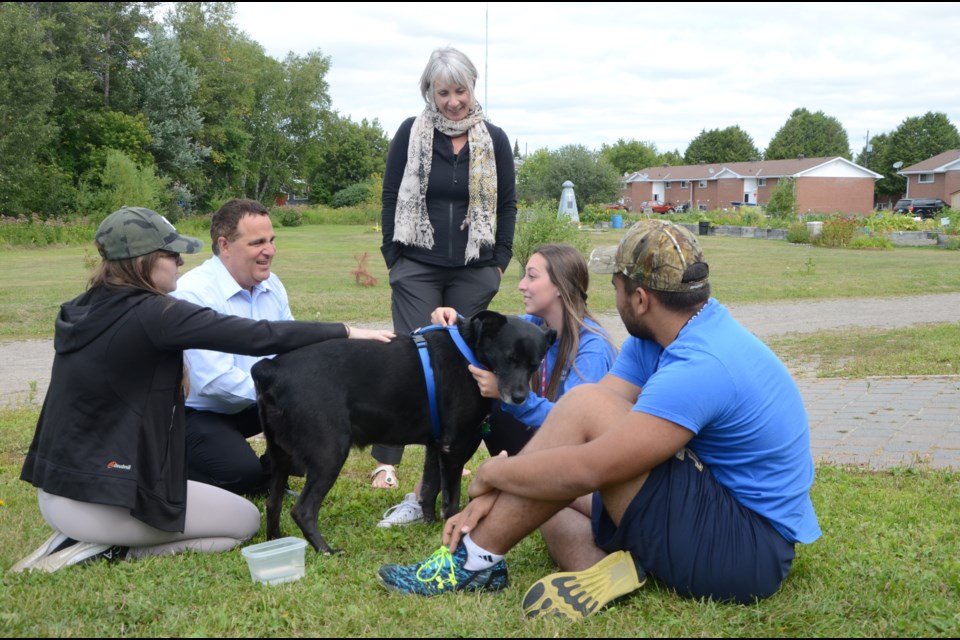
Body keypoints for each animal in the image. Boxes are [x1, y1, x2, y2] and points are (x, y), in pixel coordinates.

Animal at [251, 312, 560, 556]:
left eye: (535, 363)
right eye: (510, 358)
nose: (519, 398)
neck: (470, 352)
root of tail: (271, 369)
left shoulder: (436, 446)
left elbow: (430, 489)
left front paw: (429, 525)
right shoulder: (454, 447)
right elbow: (452, 500)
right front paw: (452, 532)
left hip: (280, 456)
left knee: (273, 502)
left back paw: (276, 542)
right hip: (329, 454)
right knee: (302, 510)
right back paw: (325, 550)